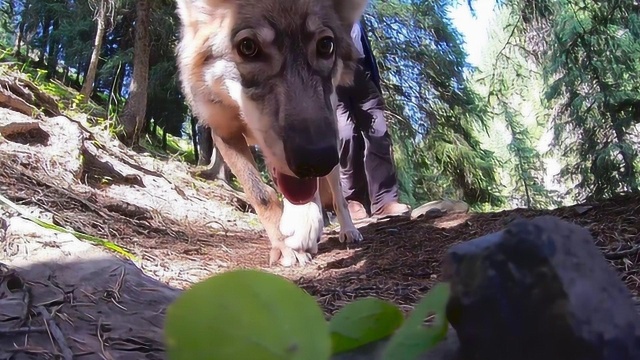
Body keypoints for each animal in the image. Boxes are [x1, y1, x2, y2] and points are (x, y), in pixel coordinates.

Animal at [174, 0, 364, 268]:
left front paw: (303, 224)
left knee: (337, 195)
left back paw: (346, 230)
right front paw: (285, 245)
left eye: (326, 45)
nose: (316, 159)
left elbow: (310, 192)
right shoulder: (225, 133)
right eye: (248, 47)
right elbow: (261, 194)